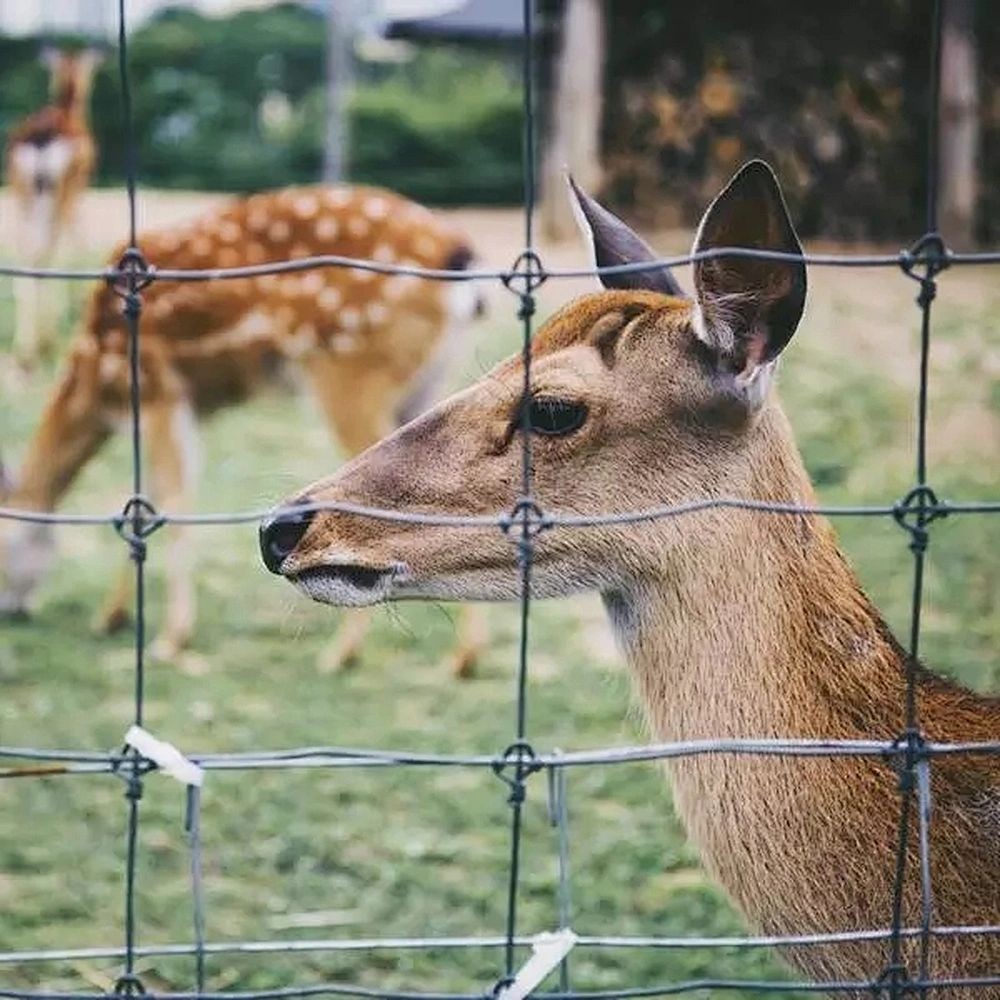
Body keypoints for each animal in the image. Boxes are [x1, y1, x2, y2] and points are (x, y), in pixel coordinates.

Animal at [0, 185, 484, 676]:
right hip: (429, 382)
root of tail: (458, 255)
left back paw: (341, 654)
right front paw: (111, 617)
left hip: (351, 366)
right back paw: (460, 657)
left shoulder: (160, 390)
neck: (97, 379)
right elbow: (143, 501)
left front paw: (170, 640)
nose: (11, 611)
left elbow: (172, 501)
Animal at [4, 47, 102, 366]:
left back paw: (26, 348)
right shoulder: (80, 184)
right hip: (62, 187)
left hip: (21, 188)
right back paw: (47, 340)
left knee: (28, 250)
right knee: (54, 246)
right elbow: (75, 242)